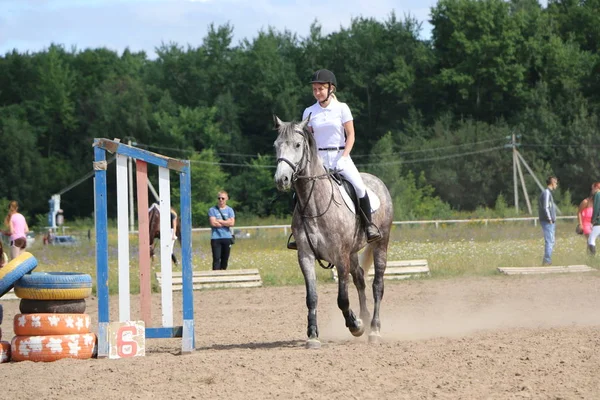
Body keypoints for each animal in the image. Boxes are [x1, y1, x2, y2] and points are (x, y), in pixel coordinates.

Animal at [276, 115, 396, 346]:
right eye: (276, 145)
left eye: (297, 145)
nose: (281, 180)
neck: (315, 204)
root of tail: (377, 180)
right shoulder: (305, 255)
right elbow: (311, 296)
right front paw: (313, 335)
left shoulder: (340, 256)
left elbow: (342, 298)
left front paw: (355, 325)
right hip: (353, 252)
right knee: (360, 279)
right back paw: (365, 317)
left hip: (380, 243)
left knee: (377, 285)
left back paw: (374, 329)